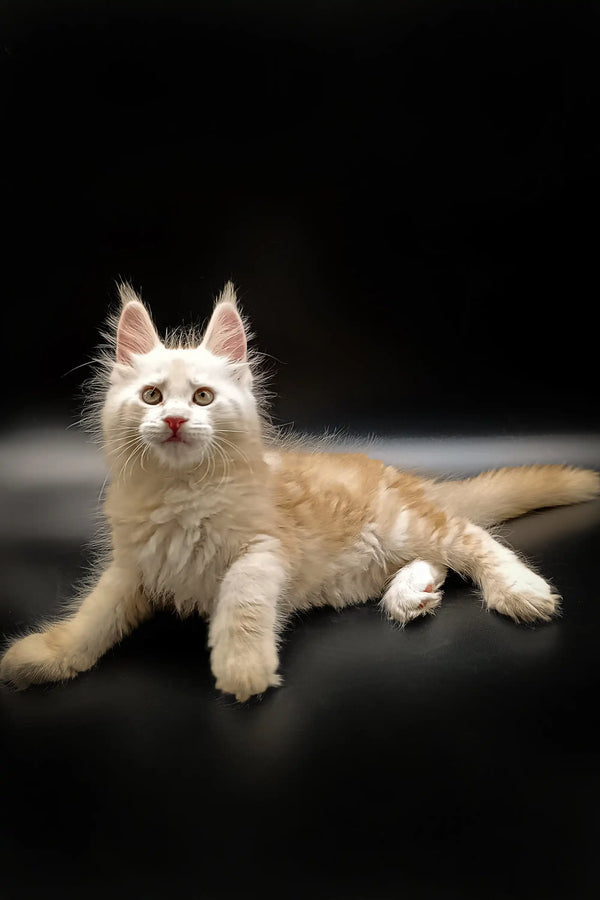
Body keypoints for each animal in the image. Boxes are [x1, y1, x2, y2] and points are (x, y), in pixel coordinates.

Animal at [1, 284, 600, 700]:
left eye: (201, 397)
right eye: (151, 397)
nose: (172, 421)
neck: (182, 493)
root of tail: (406, 476)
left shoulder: (265, 548)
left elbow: (241, 599)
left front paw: (242, 665)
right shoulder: (133, 566)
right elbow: (92, 616)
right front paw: (45, 656)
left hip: (406, 522)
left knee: (473, 539)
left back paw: (520, 590)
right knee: (440, 556)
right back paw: (411, 593)